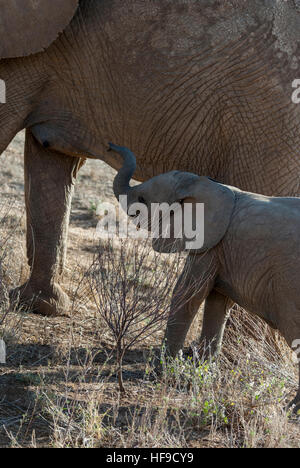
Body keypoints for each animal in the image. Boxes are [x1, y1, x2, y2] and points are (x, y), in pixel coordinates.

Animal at [109, 143, 300, 410]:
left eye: (143, 200)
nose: (111, 146)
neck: (205, 185)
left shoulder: (209, 244)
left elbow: (188, 292)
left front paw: (167, 372)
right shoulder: (222, 250)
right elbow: (217, 302)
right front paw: (204, 374)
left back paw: (290, 409)